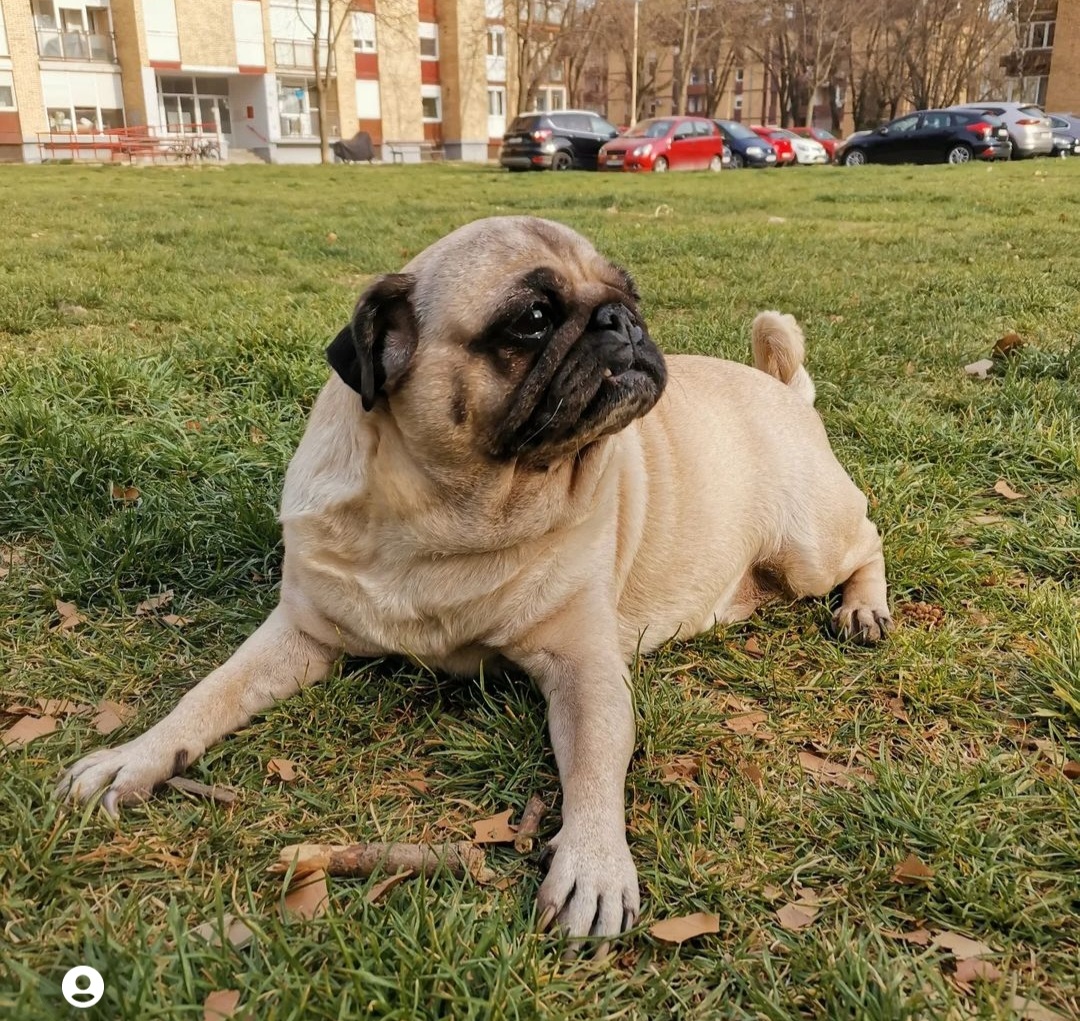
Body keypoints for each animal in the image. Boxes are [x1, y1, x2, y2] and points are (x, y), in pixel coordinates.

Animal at [58, 216, 891, 947]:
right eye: (533, 318)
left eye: (631, 294)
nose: (621, 319)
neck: (449, 518)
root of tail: (783, 387)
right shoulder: (300, 632)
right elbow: (207, 694)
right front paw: (136, 757)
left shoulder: (586, 671)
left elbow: (596, 766)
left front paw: (594, 863)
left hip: (808, 544)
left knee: (870, 538)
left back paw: (865, 611)